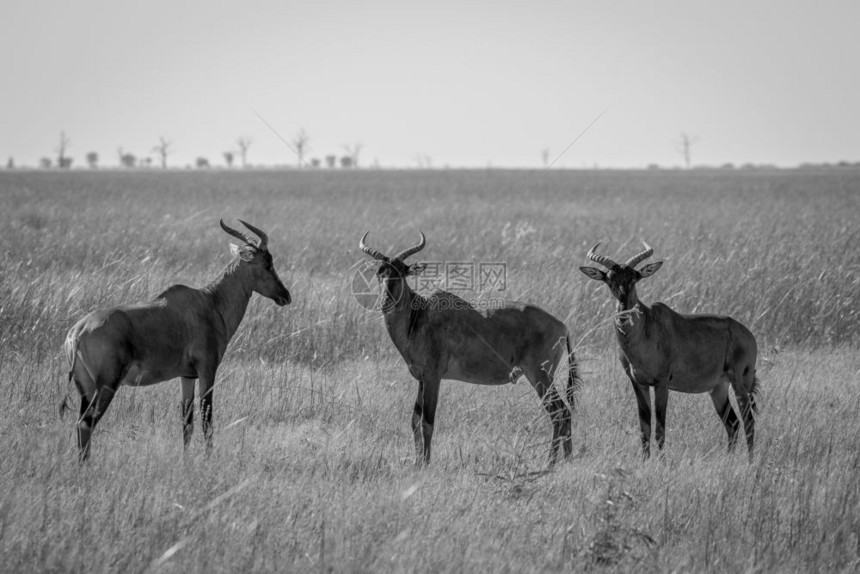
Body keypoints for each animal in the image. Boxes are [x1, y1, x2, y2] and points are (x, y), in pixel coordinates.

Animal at [62, 220, 292, 464]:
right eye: (267, 264)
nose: (285, 296)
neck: (209, 302)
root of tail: (77, 332)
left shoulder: (187, 375)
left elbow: (187, 423)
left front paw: (186, 461)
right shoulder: (207, 370)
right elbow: (207, 419)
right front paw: (209, 460)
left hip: (85, 386)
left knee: (81, 422)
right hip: (107, 384)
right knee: (86, 423)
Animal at [360, 232, 580, 466]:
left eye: (401, 273)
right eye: (380, 273)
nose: (385, 302)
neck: (421, 316)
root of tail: (562, 326)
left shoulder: (433, 377)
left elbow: (428, 421)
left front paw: (426, 464)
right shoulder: (421, 379)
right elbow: (414, 420)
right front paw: (417, 462)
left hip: (540, 376)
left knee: (560, 413)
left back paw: (551, 462)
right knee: (564, 413)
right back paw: (567, 459)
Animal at [576, 243, 760, 460]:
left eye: (634, 278)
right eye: (609, 279)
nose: (623, 312)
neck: (648, 325)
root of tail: (747, 334)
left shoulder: (662, 383)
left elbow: (660, 429)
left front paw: (662, 463)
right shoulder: (638, 383)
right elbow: (644, 428)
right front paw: (645, 461)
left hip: (740, 382)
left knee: (748, 421)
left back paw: (750, 462)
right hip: (718, 387)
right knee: (732, 422)